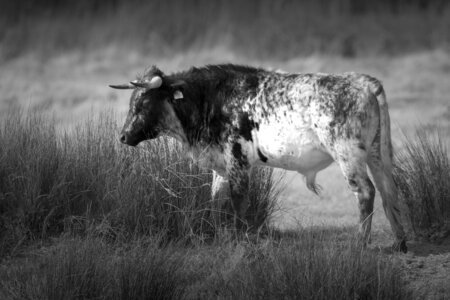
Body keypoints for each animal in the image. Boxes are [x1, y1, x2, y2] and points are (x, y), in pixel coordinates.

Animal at [111, 64, 408, 252]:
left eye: (143, 104)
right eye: (132, 102)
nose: (123, 136)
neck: (211, 100)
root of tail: (362, 81)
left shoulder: (238, 161)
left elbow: (239, 201)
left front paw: (242, 240)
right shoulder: (221, 166)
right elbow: (216, 201)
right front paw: (220, 238)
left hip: (348, 155)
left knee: (366, 192)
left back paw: (360, 244)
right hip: (377, 155)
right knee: (388, 190)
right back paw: (400, 243)